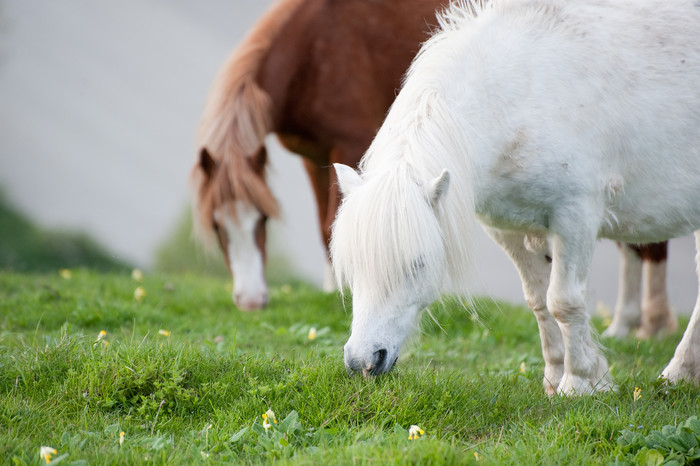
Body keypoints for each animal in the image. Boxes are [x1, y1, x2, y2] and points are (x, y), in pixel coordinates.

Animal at [330, 0, 700, 396]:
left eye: (417, 264)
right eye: (352, 265)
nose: (363, 361)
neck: (519, 96)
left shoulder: (576, 217)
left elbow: (564, 301)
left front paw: (581, 382)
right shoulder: (508, 229)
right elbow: (539, 302)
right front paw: (556, 378)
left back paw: (678, 372)